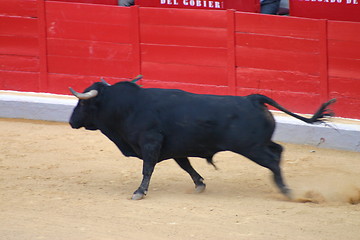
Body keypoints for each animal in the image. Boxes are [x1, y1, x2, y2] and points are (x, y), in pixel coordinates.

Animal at [69, 79, 336, 199]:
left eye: (82, 103)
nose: (71, 121)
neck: (127, 107)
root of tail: (253, 98)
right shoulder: (175, 148)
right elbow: (186, 166)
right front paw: (199, 184)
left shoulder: (150, 143)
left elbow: (147, 168)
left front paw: (139, 192)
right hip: (261, 143)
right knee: (278, 151)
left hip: (252, 148)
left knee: (272, 161)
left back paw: (286, 190)